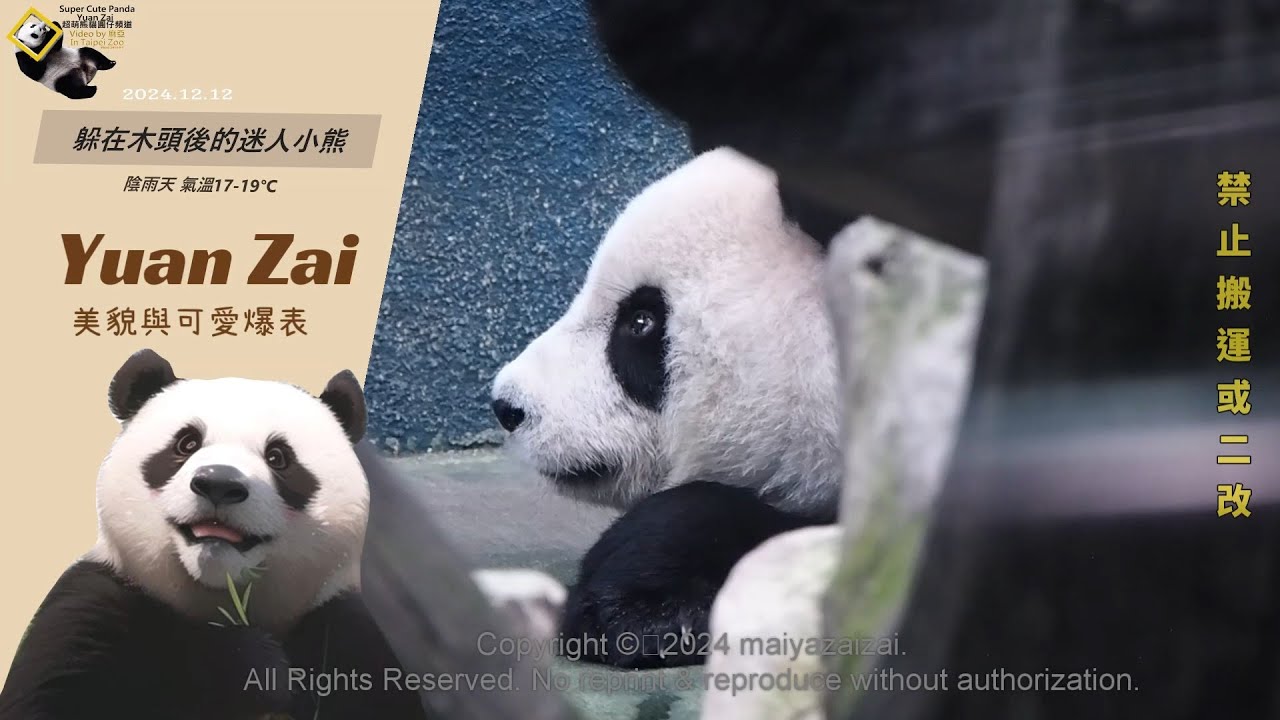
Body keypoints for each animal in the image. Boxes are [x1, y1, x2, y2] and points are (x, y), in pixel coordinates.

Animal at [0, 350, 429, 720]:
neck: (220, 599)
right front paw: (251, 665)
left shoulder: (345, 631)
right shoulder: (93, 606)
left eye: (279, 457)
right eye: (186, 443)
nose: (219, 484)